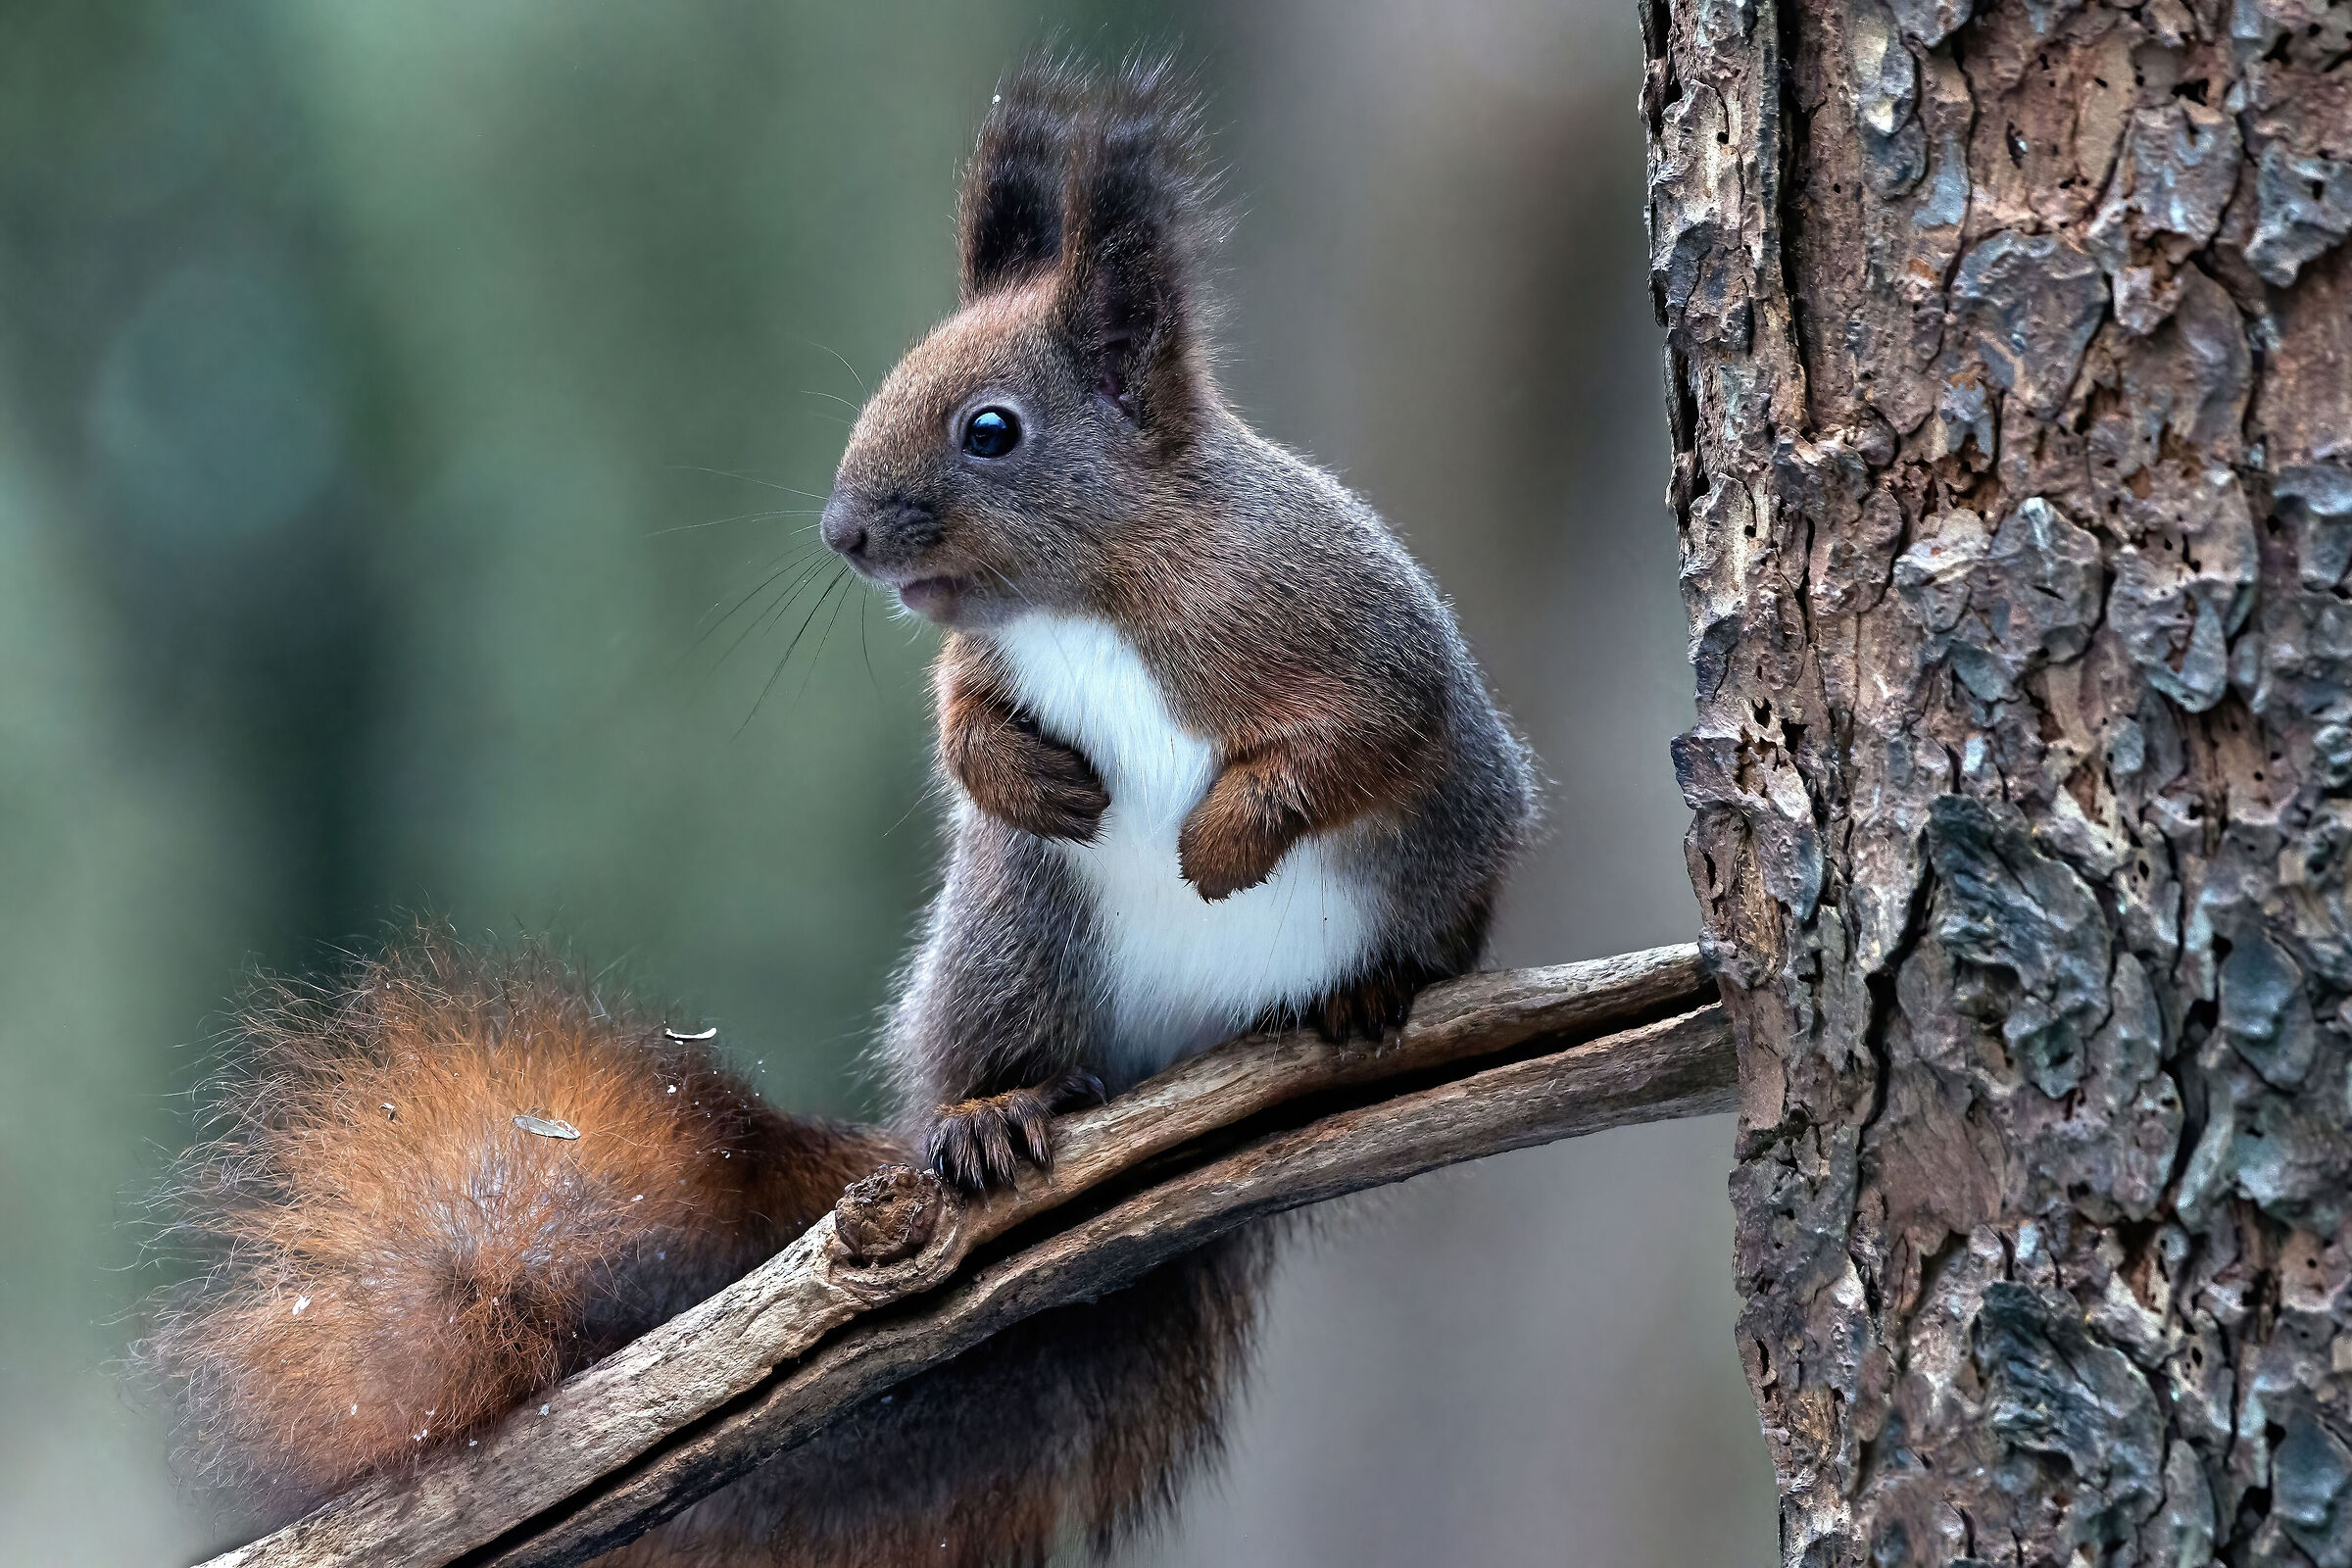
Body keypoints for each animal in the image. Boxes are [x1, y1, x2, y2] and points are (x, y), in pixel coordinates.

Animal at [142, 57, 1536, 1568]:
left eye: (993, 432)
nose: (844, 534)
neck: (1084, 599)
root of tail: (1189, 1053)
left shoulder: (1346, 622)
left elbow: (1363, 732)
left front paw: (1221, 842)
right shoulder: (981, 669)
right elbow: (959, 731)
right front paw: (1035, 779)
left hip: (1421, 867)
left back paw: (1368, 990)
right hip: (1013, 930)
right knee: (1013, 1047)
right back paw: (991, 1115)